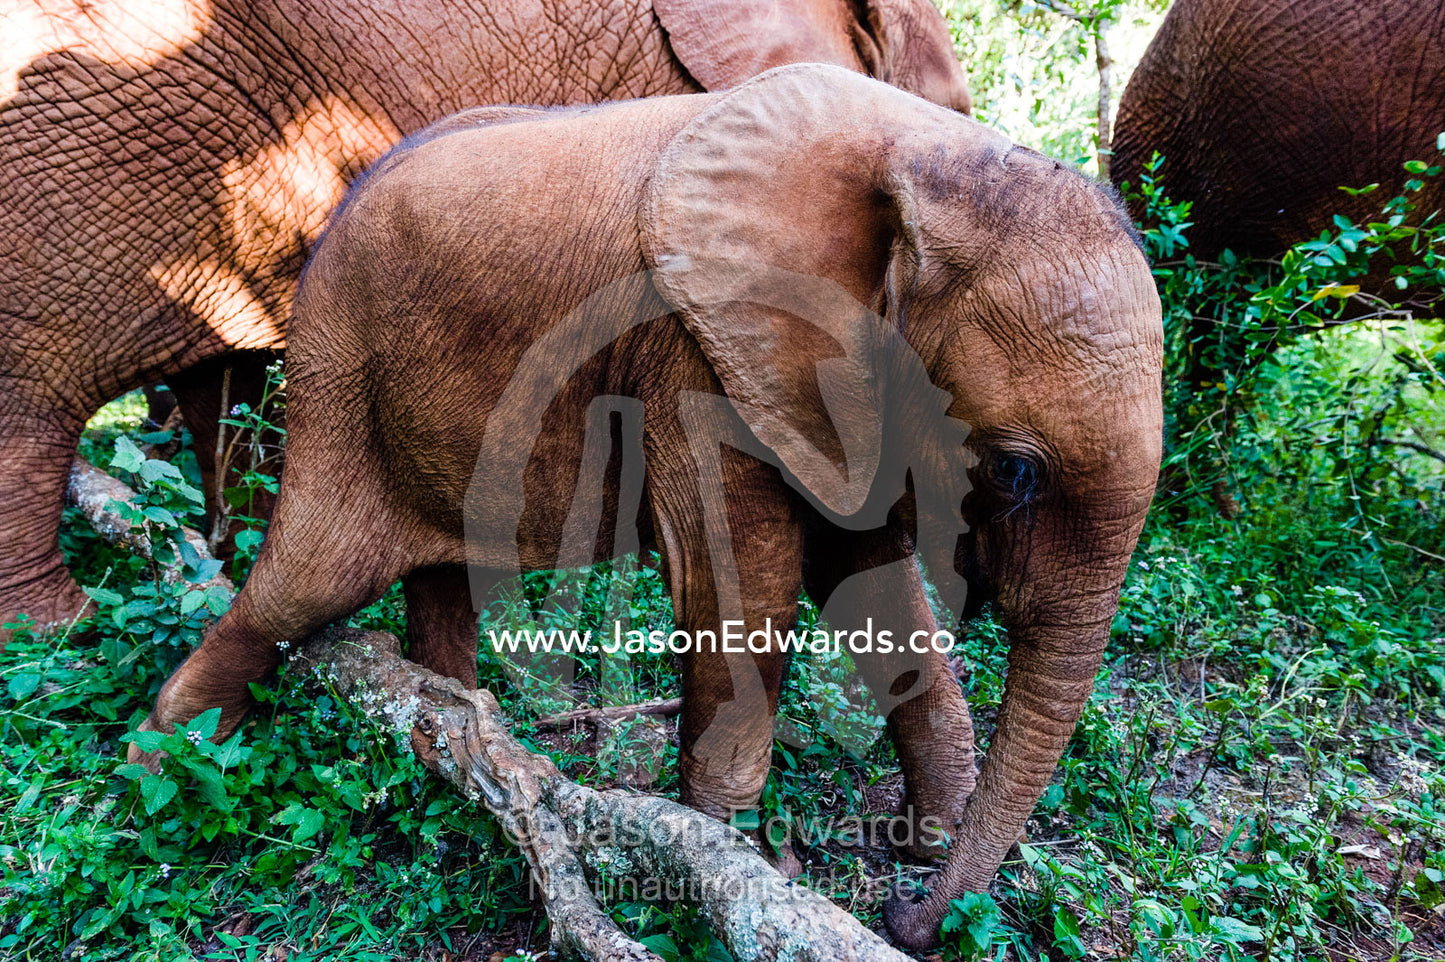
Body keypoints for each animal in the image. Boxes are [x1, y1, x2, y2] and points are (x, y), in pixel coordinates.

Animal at [131, 64, 1164, 949]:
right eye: (1014, 471)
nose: (908, 916)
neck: (928, 161)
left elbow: (869, 580)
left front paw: (924, 839)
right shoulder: (695, 357)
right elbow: (741, 594)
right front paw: (749, 876)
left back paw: (449, 737)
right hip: (339, 374)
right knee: (306, 583)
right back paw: (162, 765)